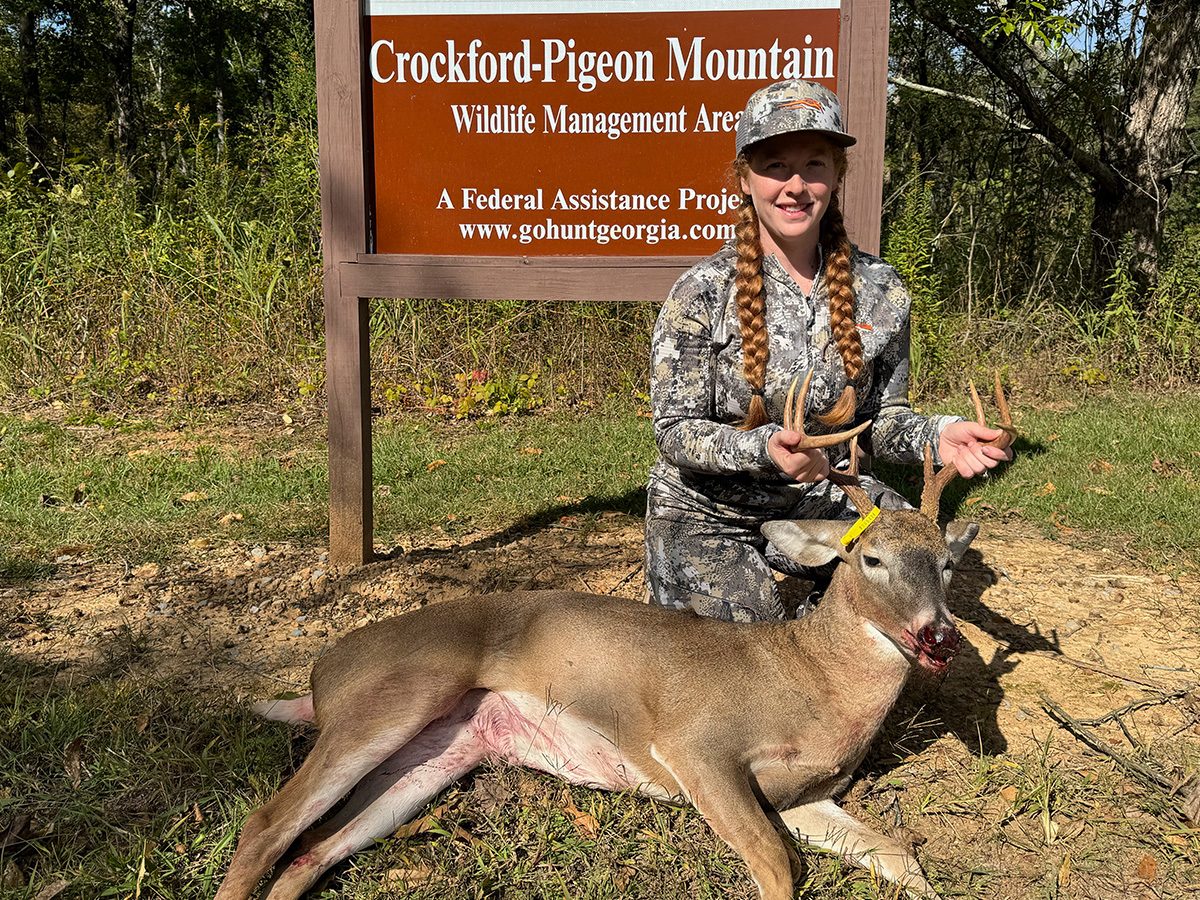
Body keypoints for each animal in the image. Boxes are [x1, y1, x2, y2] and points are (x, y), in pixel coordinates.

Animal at [213, 373, 1016, 900]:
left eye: (947, 562)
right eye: (871, 558)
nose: (938, 636)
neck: (811, 689)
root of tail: (321, 669)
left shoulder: (804, 795)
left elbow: (904, 857)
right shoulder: (697, 745)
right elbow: (778, 867)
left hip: (439, 751)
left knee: (310, 852)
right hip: (394, 696)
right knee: (264, 826)